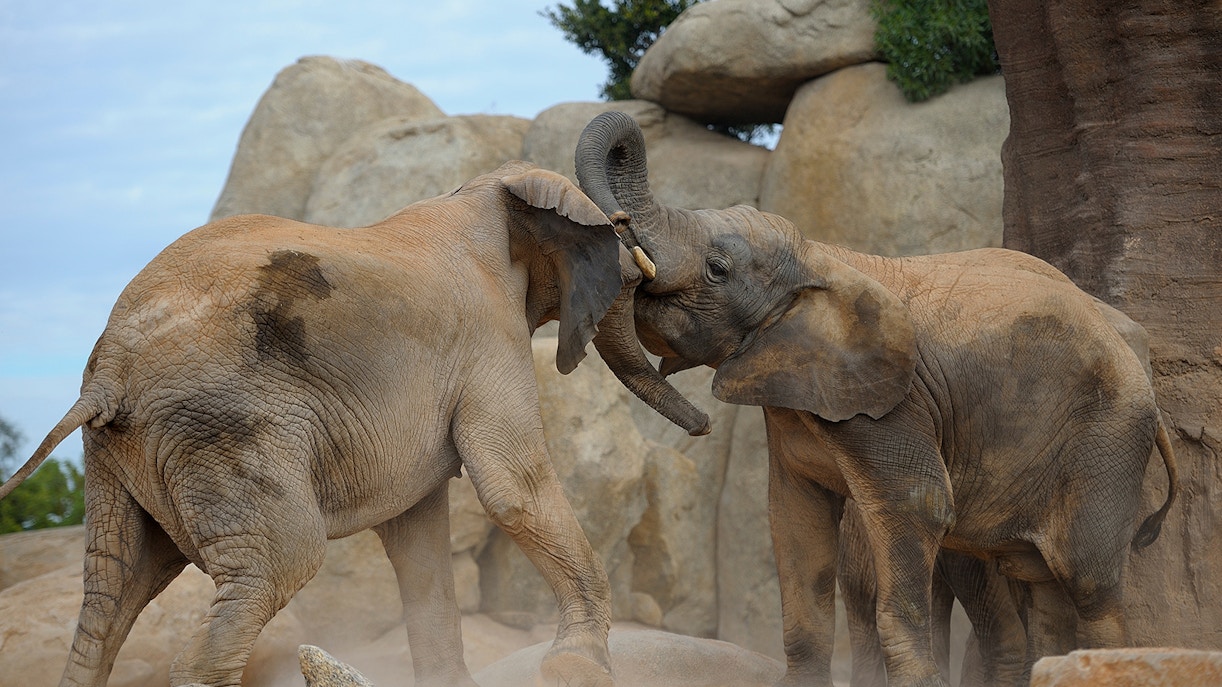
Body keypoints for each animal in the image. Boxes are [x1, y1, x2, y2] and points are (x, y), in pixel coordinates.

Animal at [0, 160, 709, 687]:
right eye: (630, 276)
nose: (703, 423)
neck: (487, 195)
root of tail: (109, 371)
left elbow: (420, 541)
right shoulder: (489, 338)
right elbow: (514, 487)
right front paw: (580, 669)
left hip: (123, 452)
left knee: (112, 593)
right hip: (221, 426)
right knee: (278, 561)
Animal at [573, 111, 1179, 687]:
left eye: (717, 269)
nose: (700, 427)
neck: (820, 258)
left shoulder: (897, 404)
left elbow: (917, 507)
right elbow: (795, 521)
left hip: (1108, 438)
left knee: (1088, 580)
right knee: (1037, 578)